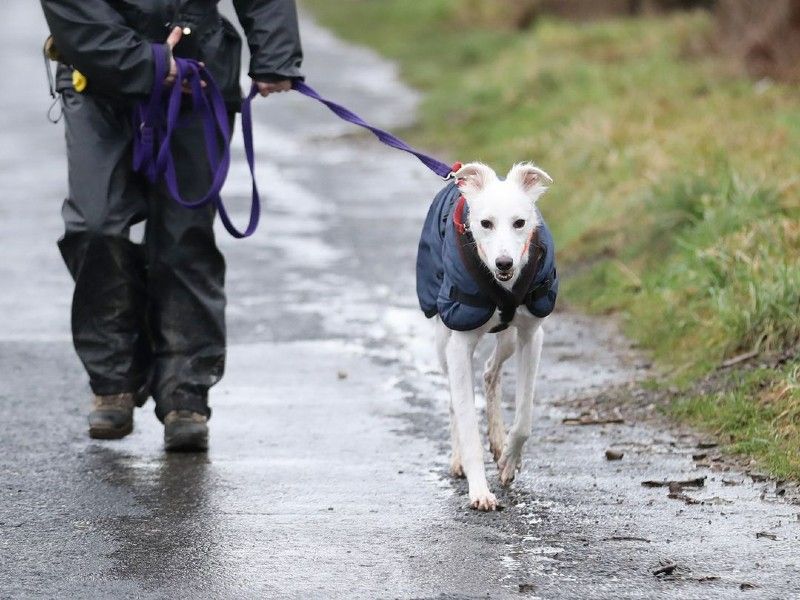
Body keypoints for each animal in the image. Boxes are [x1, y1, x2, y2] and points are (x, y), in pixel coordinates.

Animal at [418, 163, 556, 510]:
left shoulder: (532, 336)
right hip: (443, 341)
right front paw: (479, 490)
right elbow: (467, 421)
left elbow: (524, 417)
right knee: (454, 400)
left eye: (520, 223)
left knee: (490, 372)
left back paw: (497, 439)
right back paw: (458, 459)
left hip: (508, 339)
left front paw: (509, 458)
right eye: (485, 223)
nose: (504, 263)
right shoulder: (459, 345)